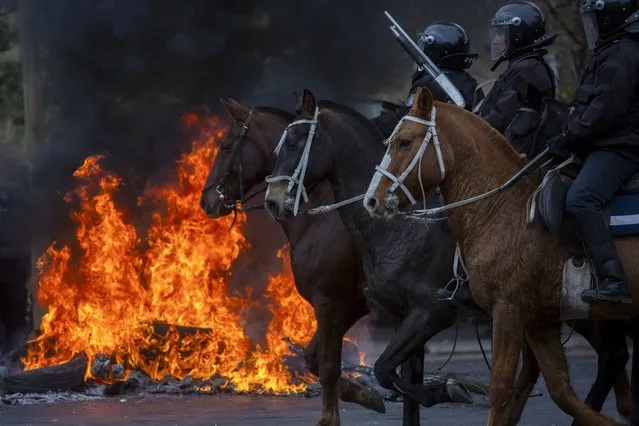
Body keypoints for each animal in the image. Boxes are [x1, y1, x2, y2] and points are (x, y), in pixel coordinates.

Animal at [200, 100, 382, 426]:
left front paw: (330, 416)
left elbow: (328, 365)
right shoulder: (349, 304)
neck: (323, 212)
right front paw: (363, 393)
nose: (206, 200)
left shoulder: (330, 302)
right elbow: (314, 359)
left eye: (225, 145)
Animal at [364, 86, 639, 426]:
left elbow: (500, 389)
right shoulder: (539, 321)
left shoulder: (505, 311)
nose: (372, 200)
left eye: (404, 141)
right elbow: (561, 392)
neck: (503, 210)